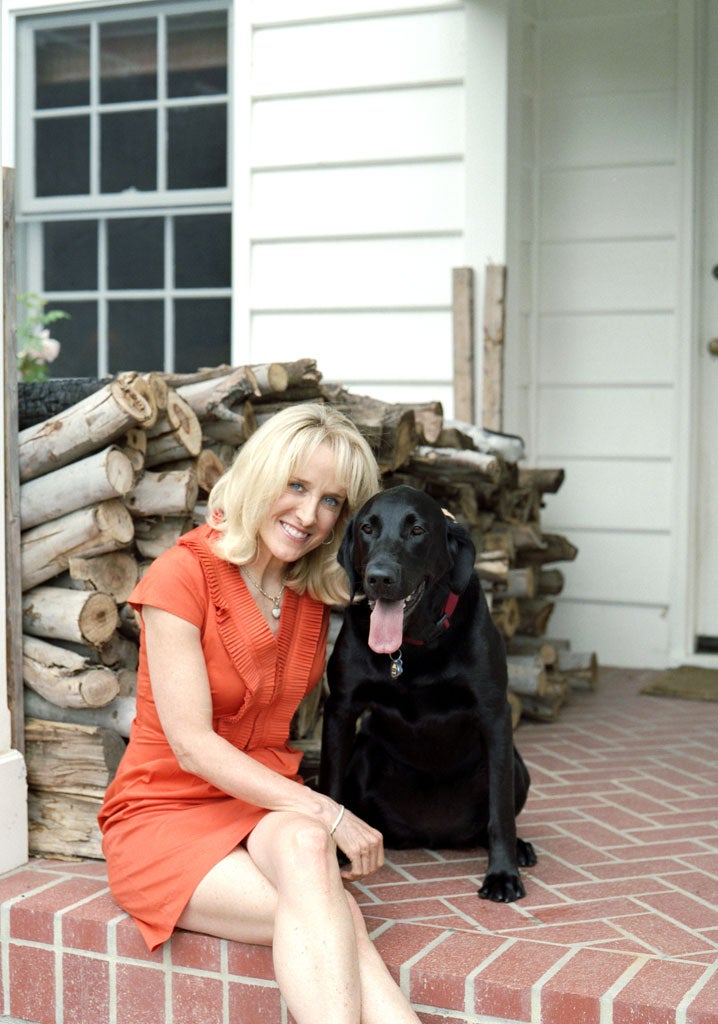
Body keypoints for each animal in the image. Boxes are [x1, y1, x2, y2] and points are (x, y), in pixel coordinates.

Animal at [315, 483, 536, 901]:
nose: (379, 577)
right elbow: (329, 790)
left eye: (417, 531)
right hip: (363, 755)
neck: (413, 645)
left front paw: (502, 874)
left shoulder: (494, 714)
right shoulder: (340, 711)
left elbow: (500, 812)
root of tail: (432, 834)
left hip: (518, 766)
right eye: (367, 528)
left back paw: (519, 849)